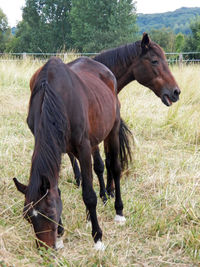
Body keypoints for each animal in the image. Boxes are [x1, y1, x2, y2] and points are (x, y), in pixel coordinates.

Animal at [12, 57, 131, 251]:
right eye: (27, 217)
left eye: (50, 213)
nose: (45, 250)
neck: (51, 96)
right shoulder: (58, 147)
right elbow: (57, 189)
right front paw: (60, 235)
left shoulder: (83, 147)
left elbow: (89, 195)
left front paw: (98, 238)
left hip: (112, 130)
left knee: (114, 167)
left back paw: (118, 211)